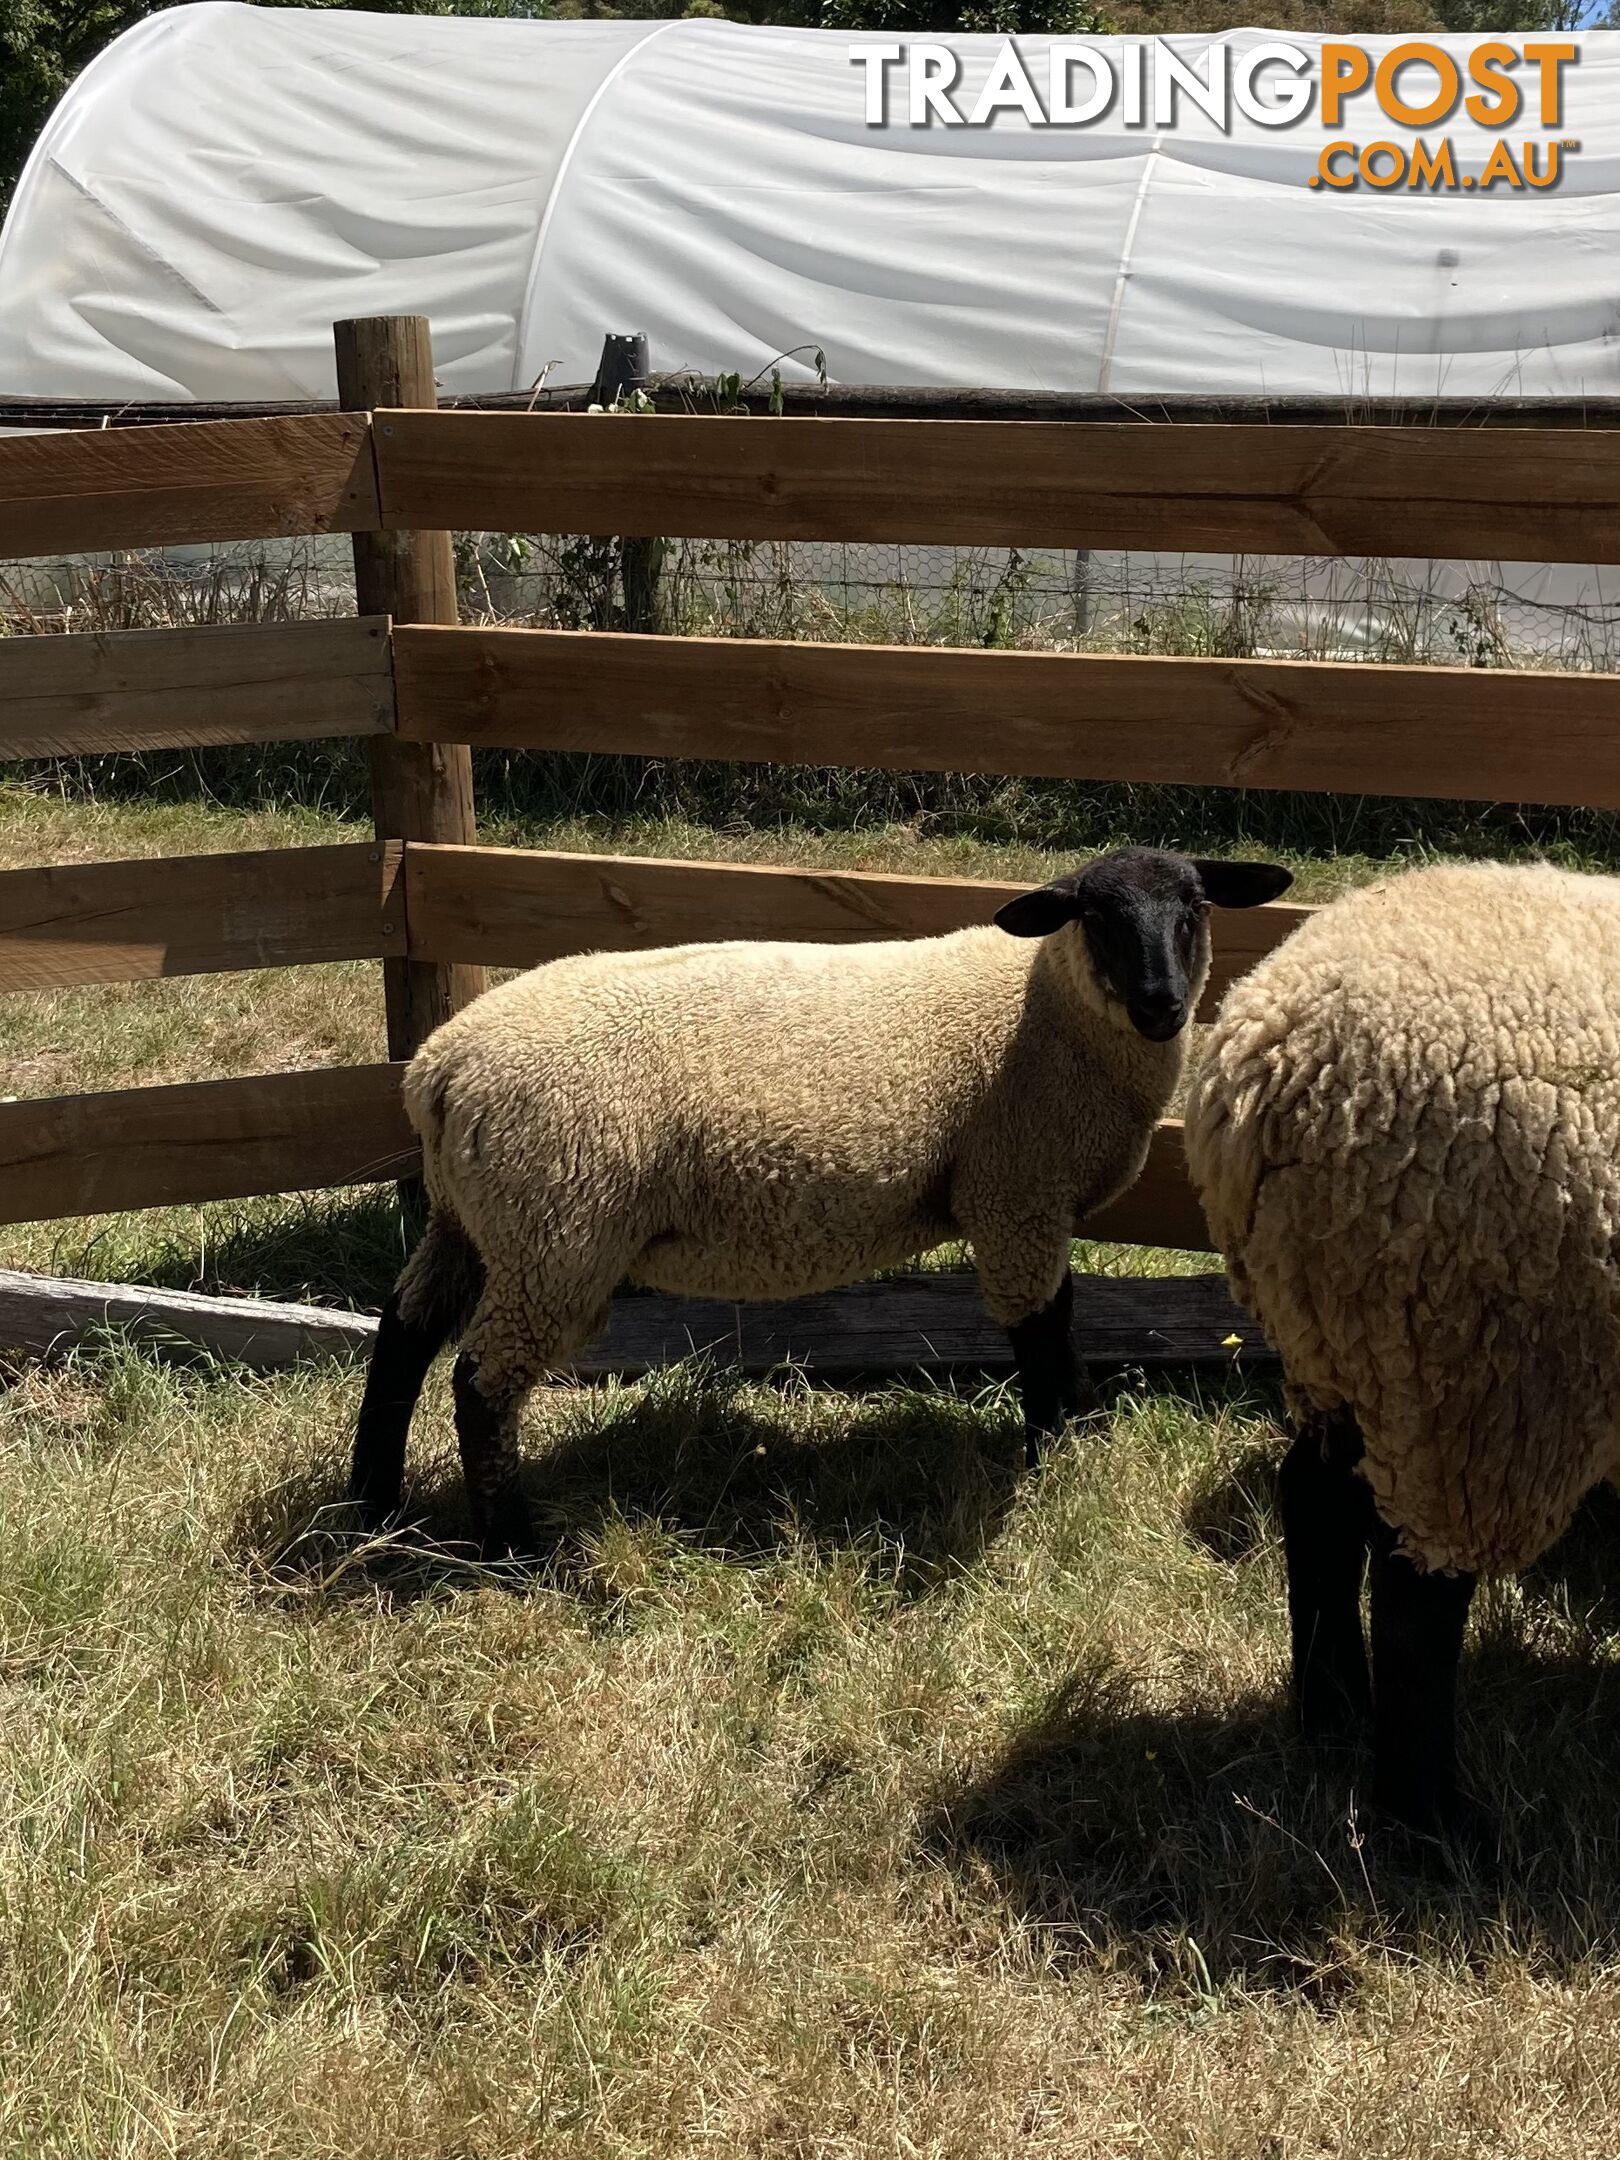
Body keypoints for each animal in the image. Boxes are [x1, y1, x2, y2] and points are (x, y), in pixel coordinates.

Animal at [352, 842, 1296, 1555]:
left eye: (1194, 908)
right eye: (1096, 917)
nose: (1162, 1004)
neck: (1050, 1011)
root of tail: (438, 1071)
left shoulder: (1035, 1199)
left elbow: (1060, 1314)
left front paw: (1083, 1427)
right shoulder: (1015, 1190)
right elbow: (1041, 1324)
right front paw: (1049, 1449)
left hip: (478, 1222)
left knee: (403, 1334)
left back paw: (374, 1502)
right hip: (556, 1231)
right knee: (480, 1381)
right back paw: (514, 1548)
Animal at [1183, 855, 1620, 1840]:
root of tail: (1267, 1056)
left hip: (1347, 1341)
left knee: (1314, 1499)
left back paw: (1335, 1710)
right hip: (1486, 1373)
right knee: (1419, 1599)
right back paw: (1436, 1830)